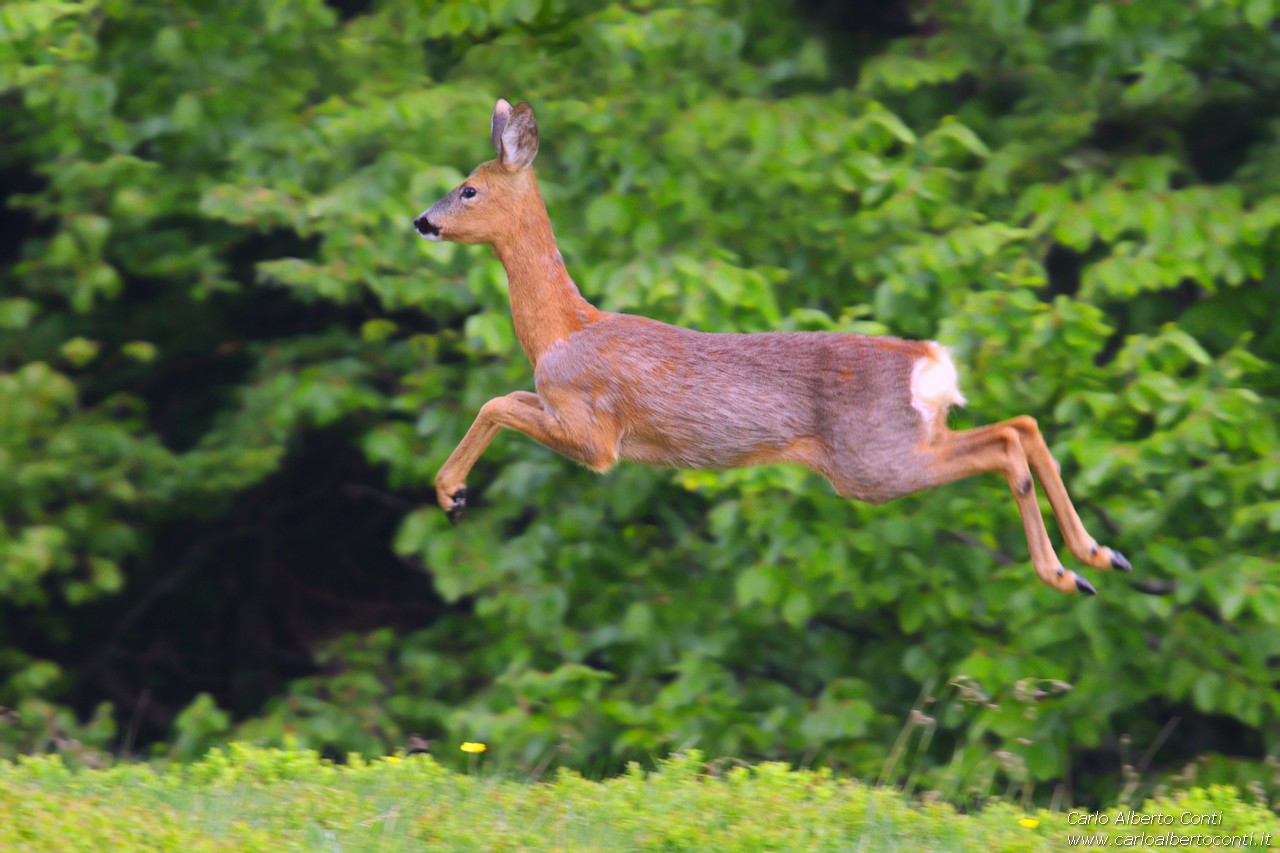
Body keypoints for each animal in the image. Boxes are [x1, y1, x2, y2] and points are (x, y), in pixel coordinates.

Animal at [414, 97, 1126, 591]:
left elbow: (497, 403)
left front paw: (450, 495)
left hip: (870, 462)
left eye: (469, 188)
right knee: (1022, 425)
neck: (563, 330)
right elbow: (505, 398)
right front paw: (454, 494)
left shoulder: (596, 434)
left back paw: (1065, 574)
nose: (422, 221)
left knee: (1005, 444)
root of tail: (930, 363)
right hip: (904, 441)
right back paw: (1098, 556)